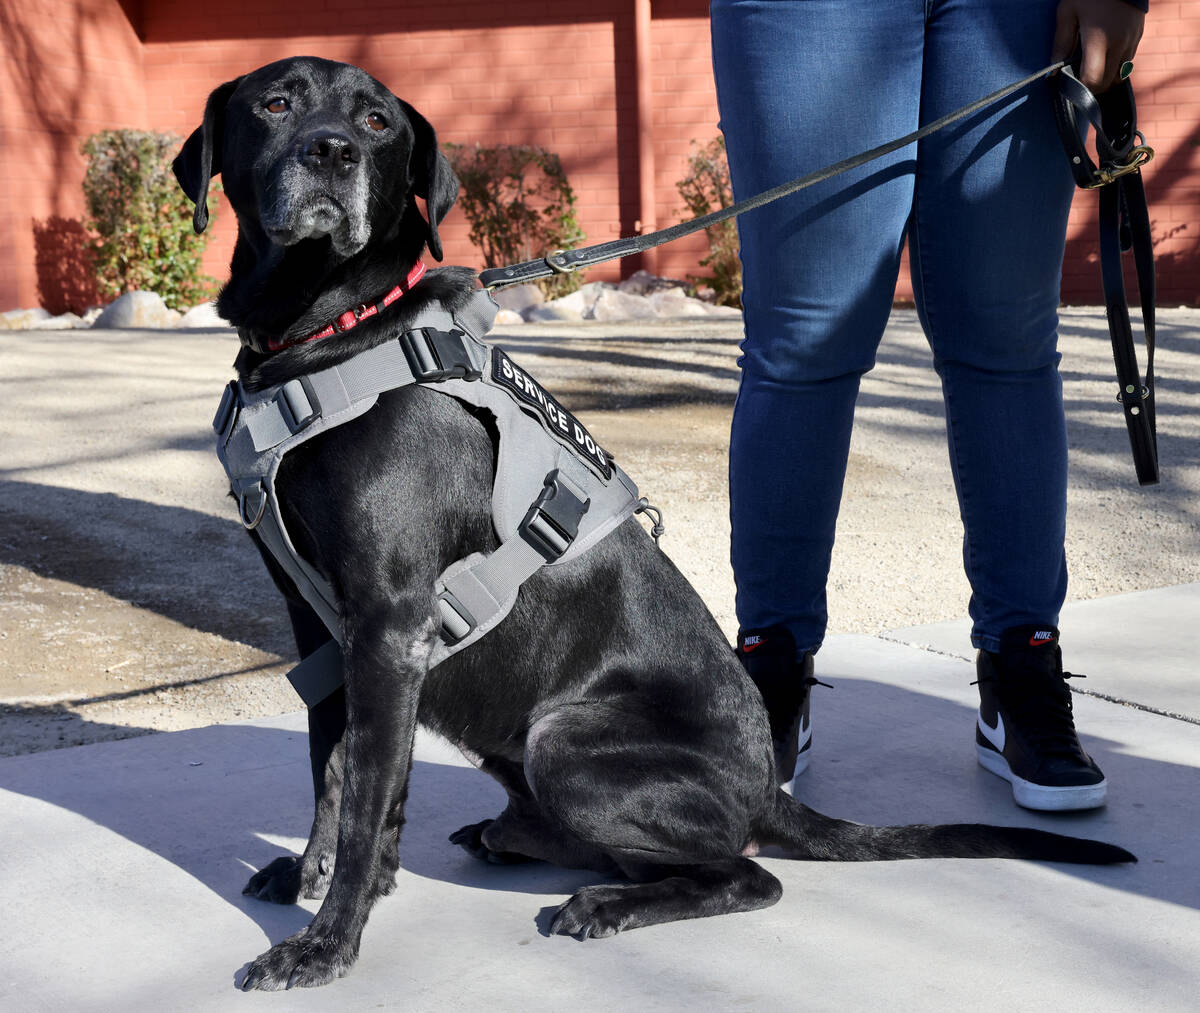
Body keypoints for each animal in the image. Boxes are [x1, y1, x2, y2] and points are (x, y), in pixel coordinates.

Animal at [171, 57, 1132, 988]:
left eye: (376, 123)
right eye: (276, 102)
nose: (331, 151)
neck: (330, 332)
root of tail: (768, 789)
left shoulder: (389, 624)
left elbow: (367, 799)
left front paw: (325, 943)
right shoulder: (322, 627)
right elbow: (333, 771)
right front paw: (310, 879)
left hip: (564, 738)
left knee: (749, 872)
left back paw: (608, 902)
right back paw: (515, 839)